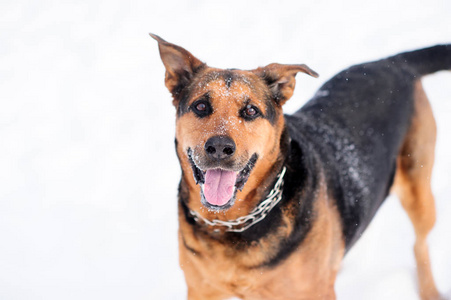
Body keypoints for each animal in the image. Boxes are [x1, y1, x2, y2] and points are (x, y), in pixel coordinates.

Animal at [151, 33, 451, 300]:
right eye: (201, 106)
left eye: (250, 111)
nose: (219, 148)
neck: (231, 224)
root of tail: (394, 62)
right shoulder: (201, 290)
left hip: (418, 190)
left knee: (420, 244)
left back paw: (429, 291)